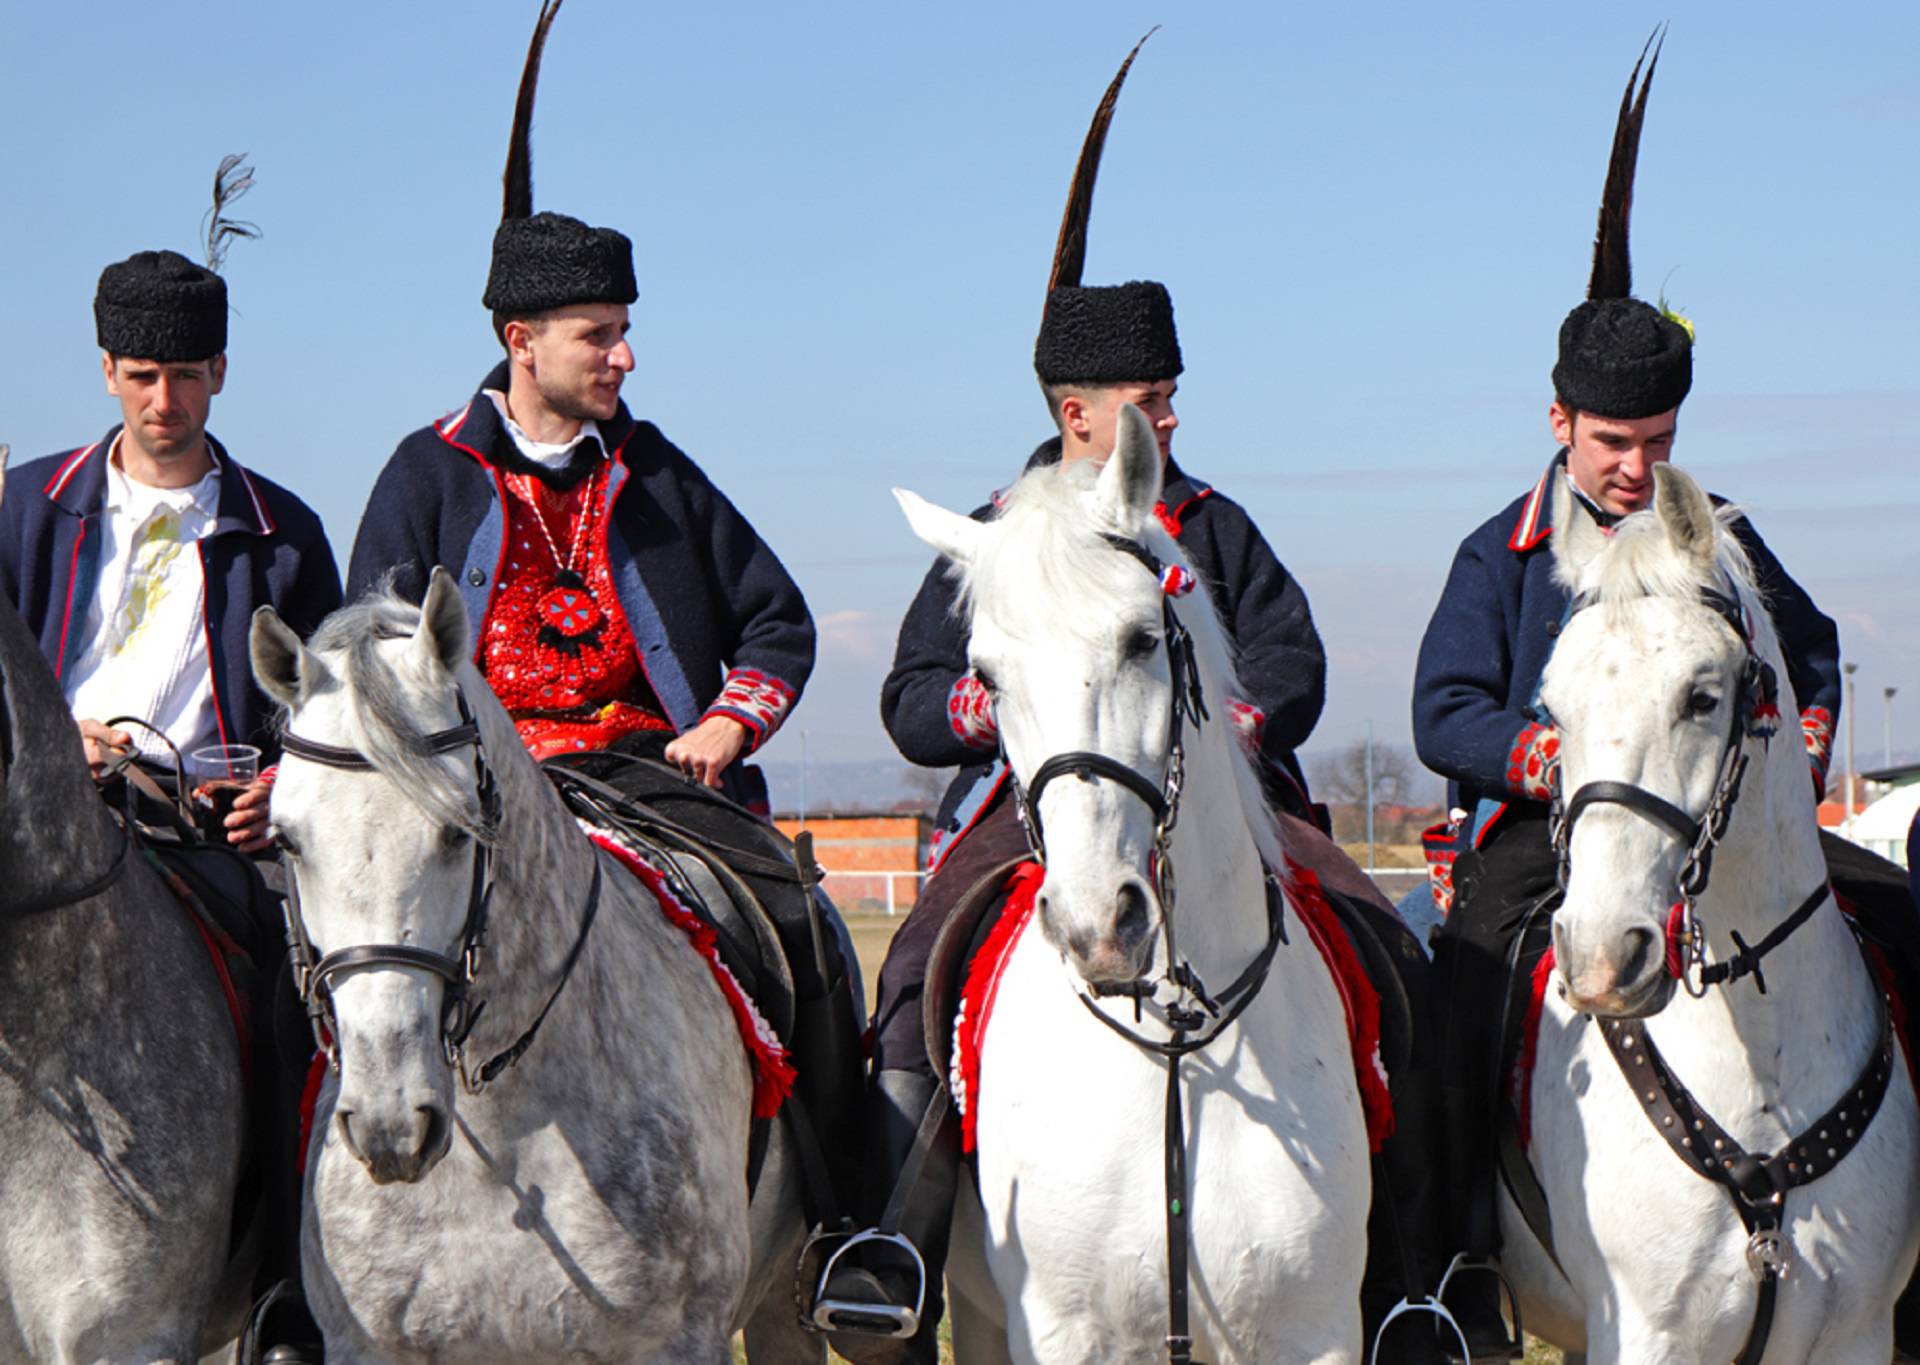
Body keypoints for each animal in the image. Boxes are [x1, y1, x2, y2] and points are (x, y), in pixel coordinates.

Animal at [890, 408, 1374, 1365]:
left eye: (1142, 639)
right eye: (986, 678)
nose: (1096, 926)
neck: (1180, 1046)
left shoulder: (1317, 1331)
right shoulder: (1065, 1333)